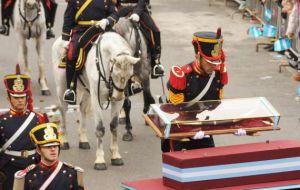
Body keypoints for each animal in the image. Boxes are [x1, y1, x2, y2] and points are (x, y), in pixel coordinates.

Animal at [51, 31, 139, 170]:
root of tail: (60, 39)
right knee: (63, 110)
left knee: (82, 108)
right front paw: (100, 160)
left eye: (130, 75)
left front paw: (115, 155)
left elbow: (114, 126)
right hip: (62, 87)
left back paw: (83, 140)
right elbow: (100, 128)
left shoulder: (116, 102)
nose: (118, 96)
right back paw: (64, 140)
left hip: (88, 90)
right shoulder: (97, 100)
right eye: (115, 73)